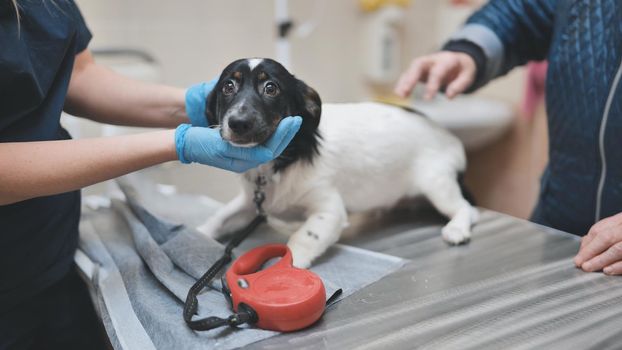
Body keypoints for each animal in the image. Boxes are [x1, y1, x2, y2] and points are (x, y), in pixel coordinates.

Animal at [197, 58, 480, 268]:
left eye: (271, 88)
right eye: (228, 86)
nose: (238, 123)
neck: (281, 162)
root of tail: (449, 136)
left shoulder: (329, 210)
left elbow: (303, 237)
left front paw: (289, 267)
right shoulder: (250, 202)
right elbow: (220, 216)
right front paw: (199, 232)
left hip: (437, 183)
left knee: (466, 208)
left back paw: (457, 228)